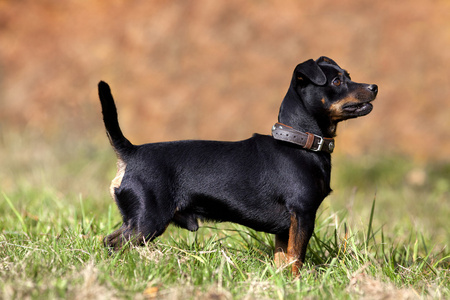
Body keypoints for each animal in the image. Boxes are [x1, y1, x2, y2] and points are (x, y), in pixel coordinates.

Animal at [98, 56, 376, 276]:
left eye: (349, 76)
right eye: (337, 82)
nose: (373, 86)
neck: (298, 143)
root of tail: (131, 152)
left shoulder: (285, 228)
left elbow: (284, 260)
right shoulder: (303, 215)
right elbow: (296, 258)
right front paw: (298, 284)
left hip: (139, 223)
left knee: (108, 243)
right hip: (147, 222)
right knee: (112, 244)